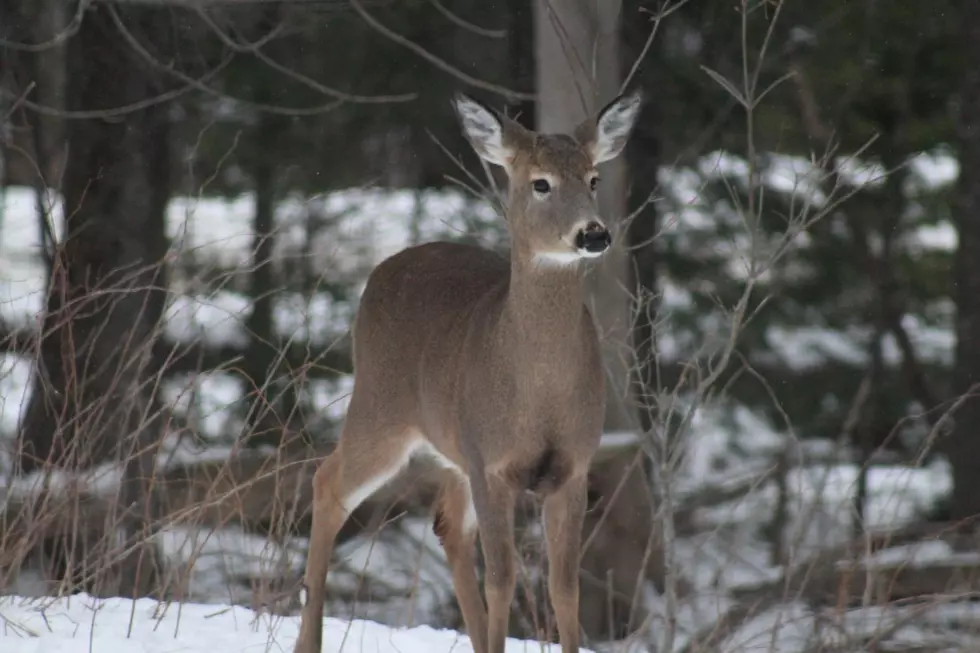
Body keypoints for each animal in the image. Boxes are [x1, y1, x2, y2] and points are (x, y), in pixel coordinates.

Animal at [290, 88, 644, 652]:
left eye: (593, 178)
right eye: (540, 182)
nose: (593, 234)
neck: (538, 392)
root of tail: (384, 267)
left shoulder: (573, 465)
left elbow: (563, 585)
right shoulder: (491, 462)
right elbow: (501, 578)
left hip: (451, 447)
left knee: (447, 525)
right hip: (379, 408)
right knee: (328, 484)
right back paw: (309, 641)